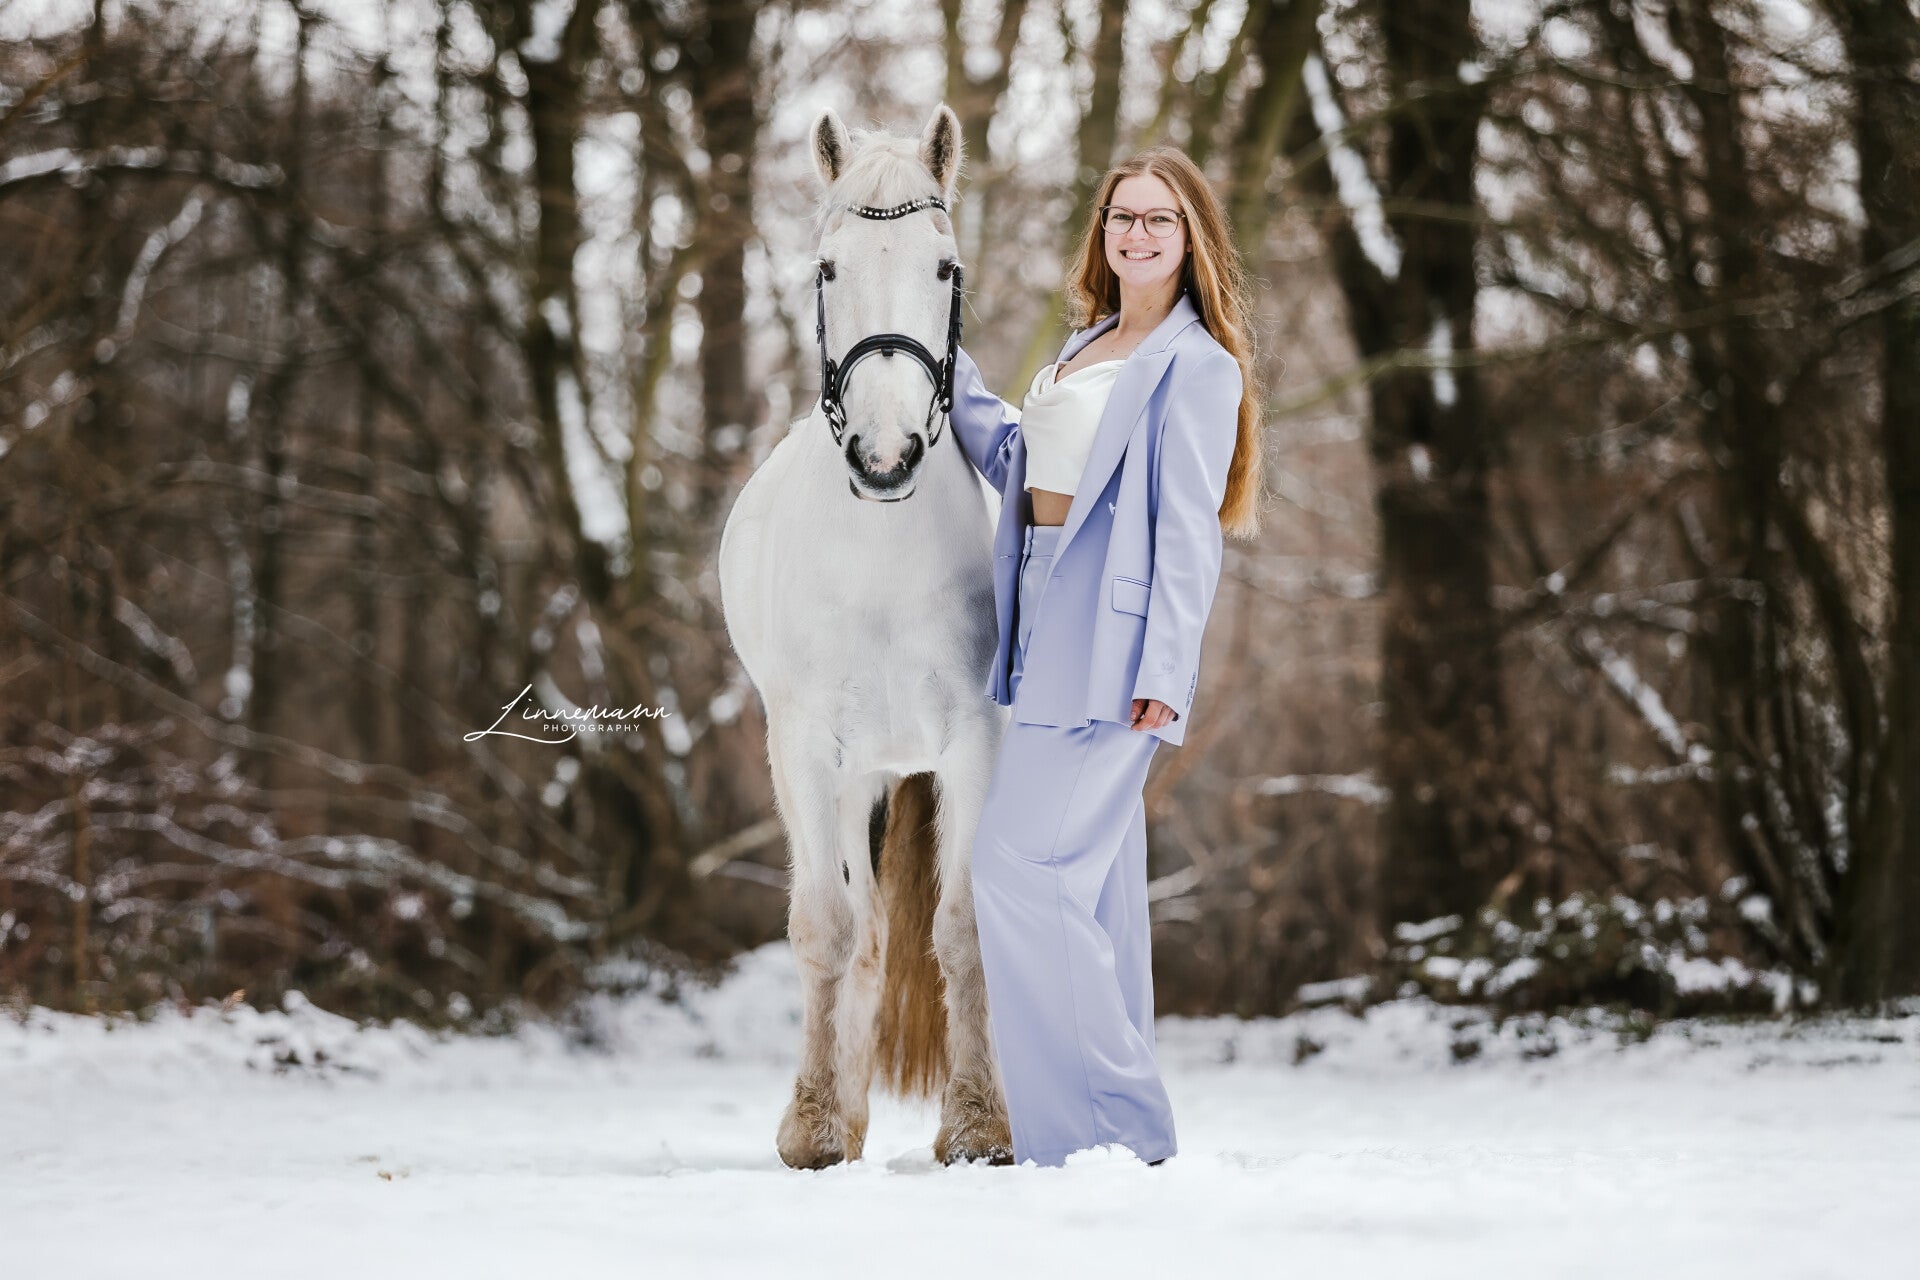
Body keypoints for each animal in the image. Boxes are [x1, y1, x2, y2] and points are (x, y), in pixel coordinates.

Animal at [717, 104, 1013, 1169]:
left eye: (945, 267)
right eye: (829, 268)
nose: (886, 457)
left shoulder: (975, 745)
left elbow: (966, 930)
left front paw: (979, 1125)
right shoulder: (808, 752)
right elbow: (829, 931)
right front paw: (813, 1125)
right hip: (860, 778)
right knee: (866, 933)